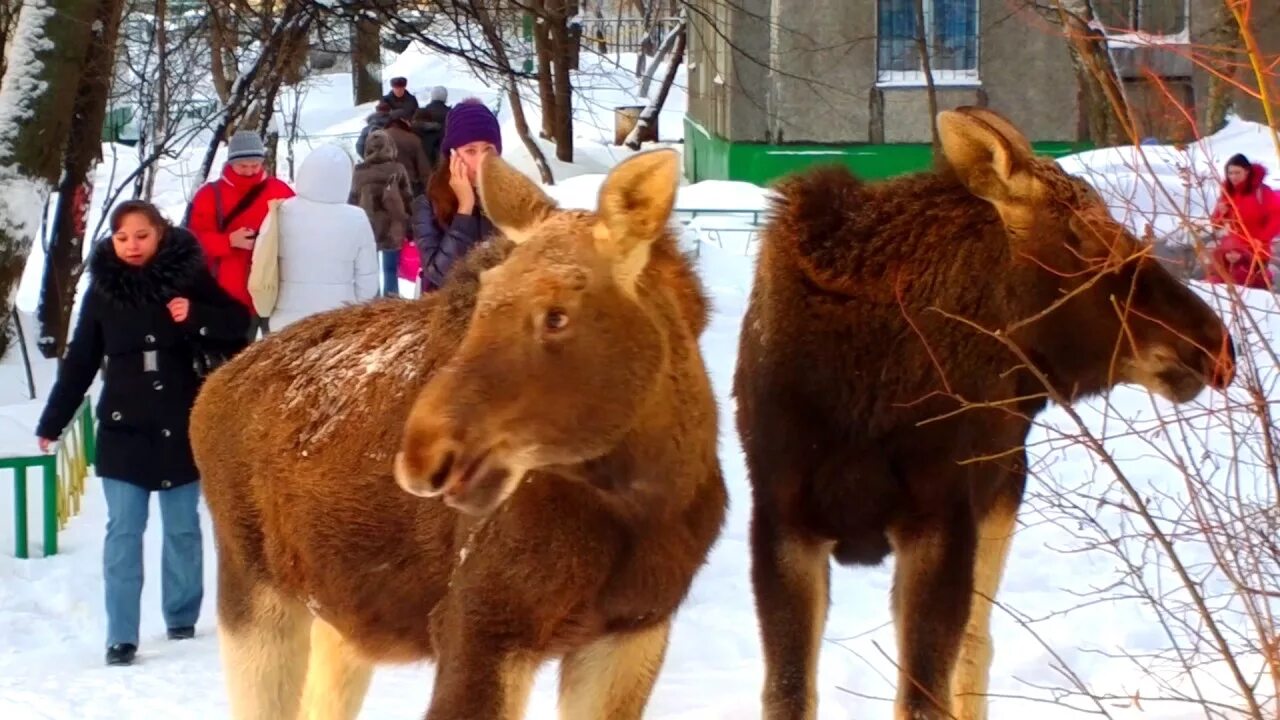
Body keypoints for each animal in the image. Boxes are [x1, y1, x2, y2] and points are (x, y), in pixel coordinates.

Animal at [190, 147, 732, 717]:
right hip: (255, 595)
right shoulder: (481, 625)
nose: (424, 453)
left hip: (339, 619)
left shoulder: (633, 629)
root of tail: (210, 390)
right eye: (484, 298)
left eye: (557, 314)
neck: (647, 498)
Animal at [737, 106, 1233, 717]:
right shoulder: (782, 522)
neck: (866, 397)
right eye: (1091, 239)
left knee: (978, 644)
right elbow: (787, 693)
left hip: (1003, 492)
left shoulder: (944, 520)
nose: (1215, 344)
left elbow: (925, 694)